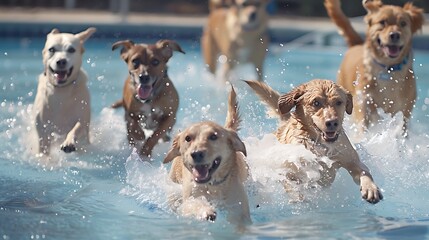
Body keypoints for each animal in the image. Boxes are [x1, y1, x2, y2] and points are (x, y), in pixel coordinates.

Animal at [33, 27, 97, 156]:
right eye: (52, 49)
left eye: (71, 49)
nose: (61, 61)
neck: (61, 90)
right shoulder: (43, 130)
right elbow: (43, 147)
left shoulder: (82, 119)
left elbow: (76, 128)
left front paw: (69, 142)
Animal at [163, 86, 251, 225]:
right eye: (188, 138)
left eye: (213, 136)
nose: (196, 154)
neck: (212, 186)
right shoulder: (190, 198)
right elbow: (193, 204)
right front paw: (206, 211)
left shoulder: (238, 207)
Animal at [246, 79, 382, 203]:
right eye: (316, 102)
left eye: (339, 102)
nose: (332, 122)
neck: (320, 144)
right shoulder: (289, 171)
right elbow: (292, 185)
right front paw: (299, 199)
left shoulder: (351, 160)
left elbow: (364, 172)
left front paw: (370, 188)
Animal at [326, 0, 422, 135]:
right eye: (382, 22)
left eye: (403, 23)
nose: (395, 35)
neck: (388, 69)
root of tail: (357, 44)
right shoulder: (363, 102)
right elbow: (363, 126)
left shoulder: (405, 110)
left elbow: (403, 129)